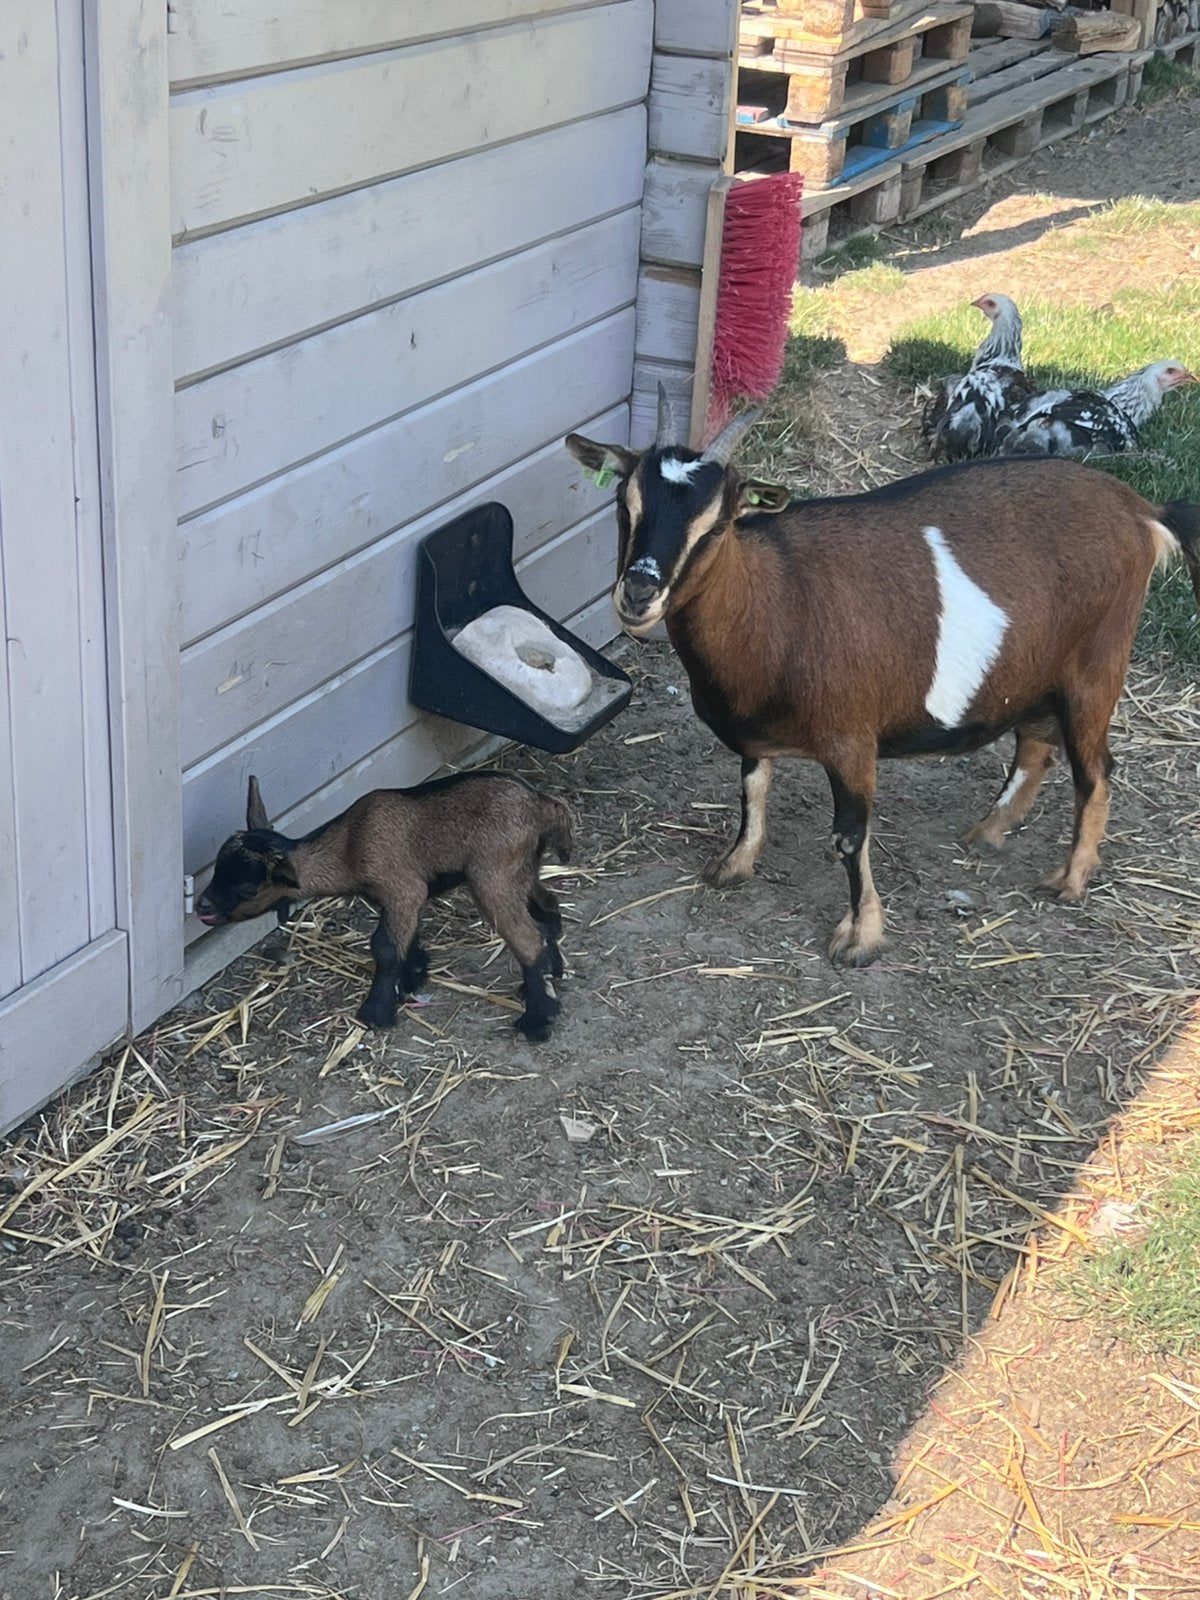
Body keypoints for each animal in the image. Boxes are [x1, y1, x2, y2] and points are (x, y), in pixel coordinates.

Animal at [196, 773, 574, 1040]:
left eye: (246, 888)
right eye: (215, 870)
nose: (202, 907)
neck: (349, 846)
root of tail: (541, 804)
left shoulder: (402, 889)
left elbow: (385, 946)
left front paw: (376, 1011)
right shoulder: (400, 899)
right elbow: (404, 939)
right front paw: (413, 976)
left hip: (492, 874)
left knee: (526, 937)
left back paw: (537, 1019)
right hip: (522, 869)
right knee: (548, 910)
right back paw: (550, 973)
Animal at [565, 387, 1200, 967]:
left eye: (719, 526)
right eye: (624, 504)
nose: (638, 593)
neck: (779, 601)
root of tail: (1141, 510)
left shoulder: (852, 740)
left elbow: (850, 835)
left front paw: (860, 938)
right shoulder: (754, 733)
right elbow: (752, 790)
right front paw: (733, 866)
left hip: (1096, 667)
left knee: (1096, 772)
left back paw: (1070, 878)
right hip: (1036, 670)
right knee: (1035, 746)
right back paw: (988, 833)